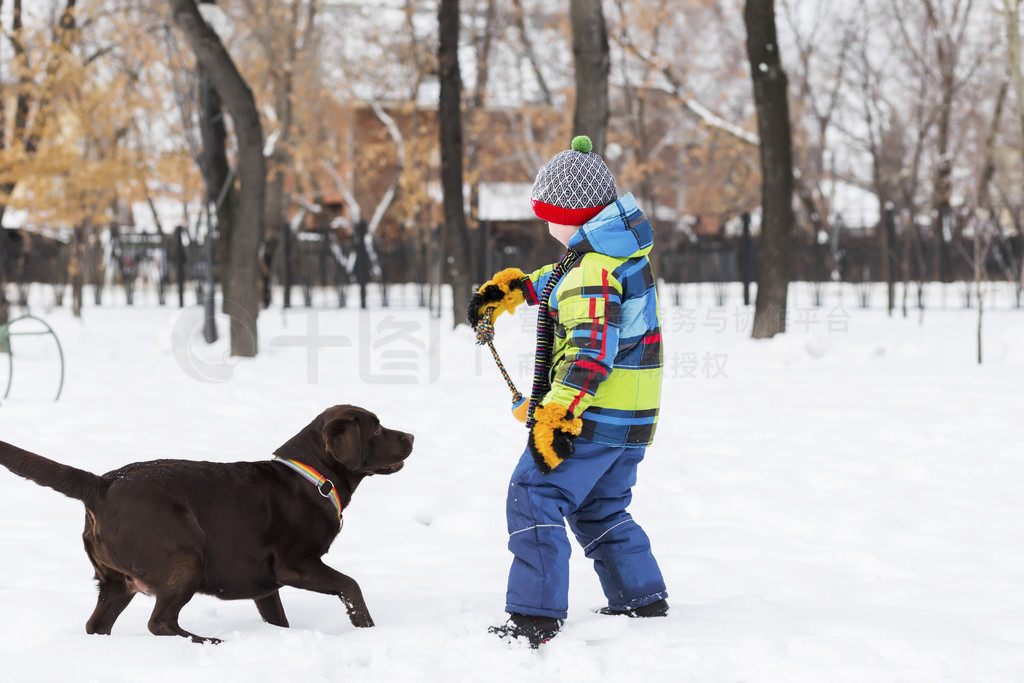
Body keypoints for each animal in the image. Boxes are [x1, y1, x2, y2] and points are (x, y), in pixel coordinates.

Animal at [0, 403, 411, 643]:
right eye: (376, 428)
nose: (410, 435)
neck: (312, 479)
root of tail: (102, 484)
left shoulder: (265, 587)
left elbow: (278, 619)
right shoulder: (297, 566)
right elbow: (351, 586)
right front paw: (367, 629)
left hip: (117, 583)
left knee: (98, 624)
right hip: (185, 557)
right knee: (160, 622)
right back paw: (206, 641)